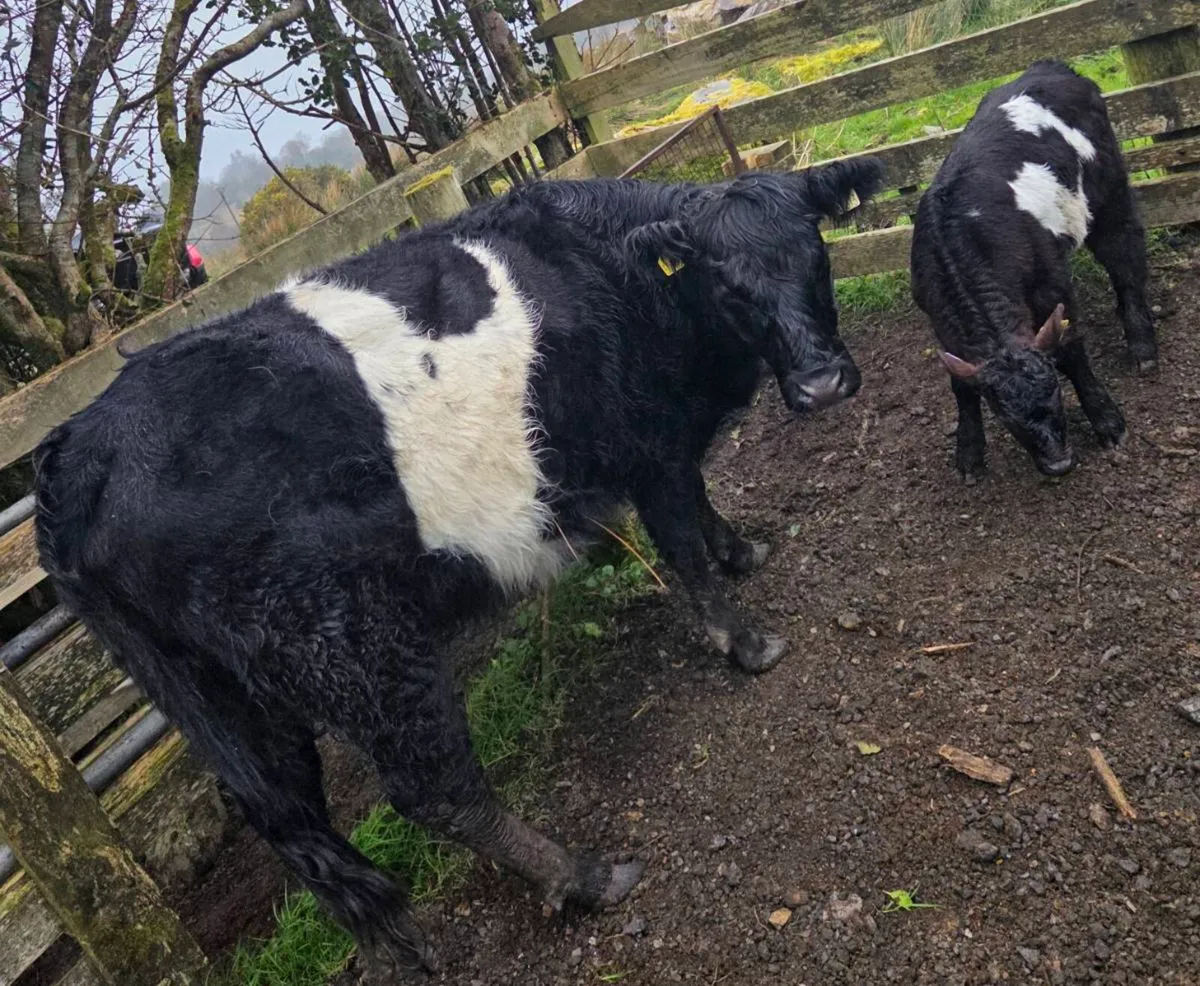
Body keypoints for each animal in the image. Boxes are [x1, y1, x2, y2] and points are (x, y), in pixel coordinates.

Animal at [33, 163, 883, 974]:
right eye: (727, 285)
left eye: (815, 254)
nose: (822, 386)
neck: (614, 271)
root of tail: (77, 450)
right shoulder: (650, 446)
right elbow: (683, 542)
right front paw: (748, 642)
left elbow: (703, 511)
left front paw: (742, 552)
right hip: (353, 644)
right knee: (430, 788)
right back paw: (584, 877)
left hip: (217, 700)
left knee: (292, 823)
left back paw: (396, 949)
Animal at [911, 59, 1156, 480]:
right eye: (1003, 414)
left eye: (1055, 390)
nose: (1058, 463)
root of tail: (1050, 67)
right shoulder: (939, 318)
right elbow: (960, 385)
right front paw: (969, 451)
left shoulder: (1052, 286)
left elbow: (1071, 350)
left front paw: (1106, 420)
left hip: (1109, 190)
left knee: (1124, 255)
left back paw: (1141, 343)